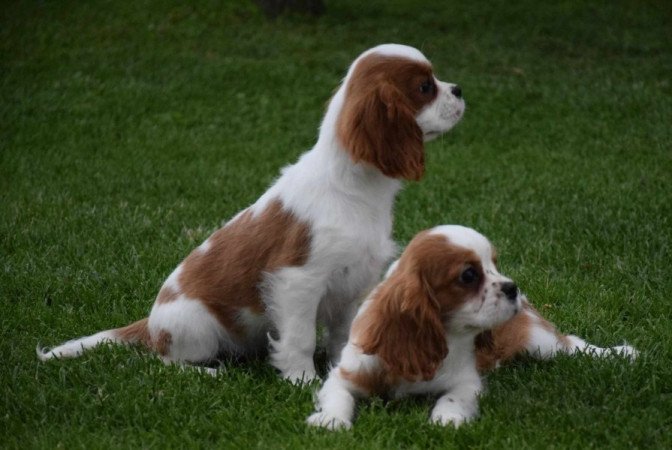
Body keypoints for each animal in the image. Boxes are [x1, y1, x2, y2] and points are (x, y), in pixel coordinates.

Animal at [36, 43, 468, 384]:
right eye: (425, 87)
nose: (460, 89)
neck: (358, 189)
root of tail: (150, 324)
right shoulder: (297, 280)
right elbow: (300, 337)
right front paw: (302, 380)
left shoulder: (353, 283)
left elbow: (344, 334)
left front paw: (343, 368)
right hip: (196, 326)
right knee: (165, 361)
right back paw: (208, 373)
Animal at [308, 225, 636, 428]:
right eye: (468, 275)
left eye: (494, 264)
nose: (512, 287)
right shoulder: (348, 372)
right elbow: (338, 395)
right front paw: (330, 421)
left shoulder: (468, 382)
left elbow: (453, 397)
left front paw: (447, 419)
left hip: (539, 341)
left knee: (573, 344)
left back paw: (621, 353)